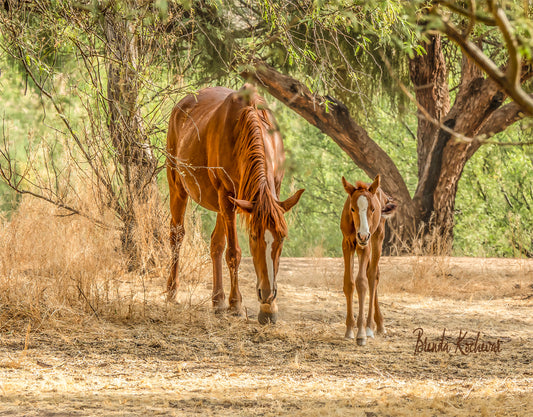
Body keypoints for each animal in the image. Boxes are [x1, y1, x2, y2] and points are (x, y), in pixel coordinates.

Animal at [164, 83, 304, 324]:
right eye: (254, 237)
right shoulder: (227, 196)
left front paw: (269, 308)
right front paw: (236, 304)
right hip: (178, 185)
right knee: (177, 235)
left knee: (215, 244)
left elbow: (224, 247)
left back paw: (217, 300)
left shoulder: (268, 192)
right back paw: (173, 291)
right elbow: (234, 253)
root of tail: (181, 105)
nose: (267, 294)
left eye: (282, 238)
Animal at [340, 175, 394, 344]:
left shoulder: (365, 247)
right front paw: (349, 328)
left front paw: (361, 332)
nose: (363, 235)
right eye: (352, 208)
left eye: (373, 209)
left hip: (376, 237)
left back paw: (371, 326)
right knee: (372, 273)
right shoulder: (347, 243)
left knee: (372, 276)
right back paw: (378, 324)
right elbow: (349, 283)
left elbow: (361, 282)